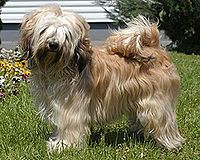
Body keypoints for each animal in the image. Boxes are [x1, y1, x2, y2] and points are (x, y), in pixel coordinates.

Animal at [19, 5, 184, 152]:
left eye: (66, 35)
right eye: (44, 30)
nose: (53, 44)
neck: (56, 68)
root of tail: (154, 48)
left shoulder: (71, 109)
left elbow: (69, 126)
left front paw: (63, 146)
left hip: (156, 103)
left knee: (164, 122)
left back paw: (171, 145)